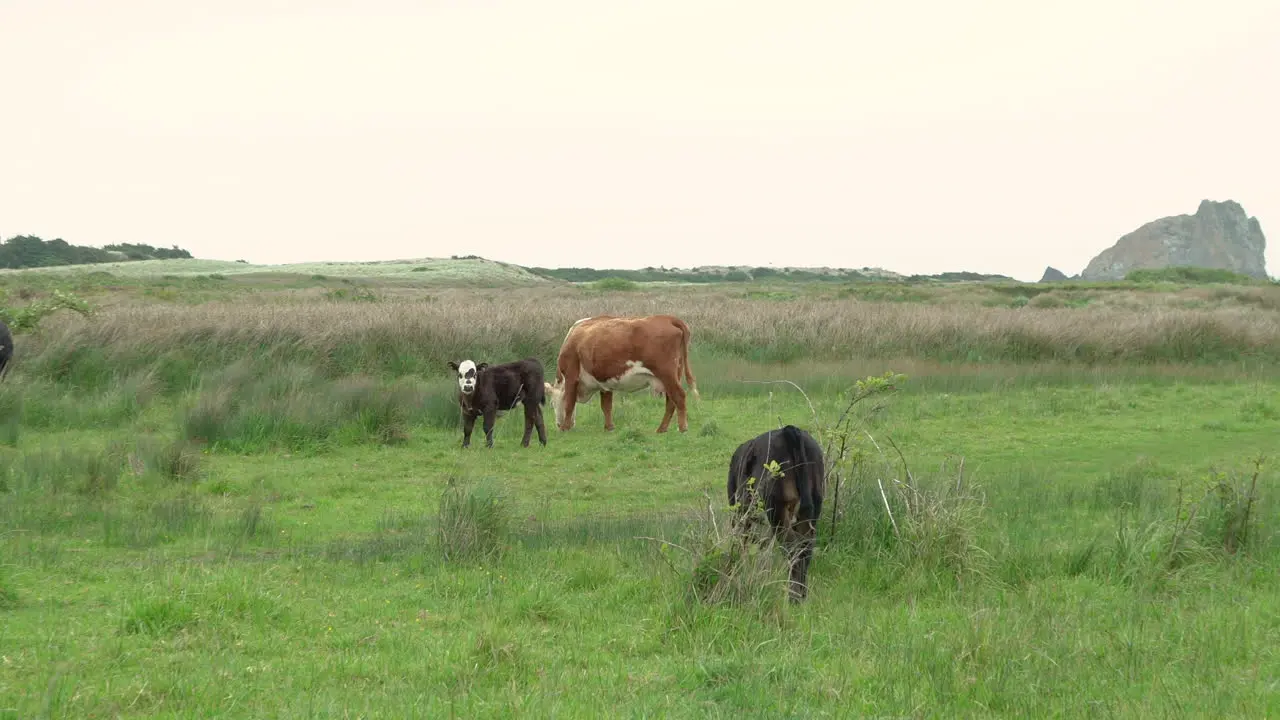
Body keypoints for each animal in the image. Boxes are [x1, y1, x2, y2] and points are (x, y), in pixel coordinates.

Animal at [540, 312, 701, 430]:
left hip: (667, 375)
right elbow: (606, 406)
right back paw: (662, 429)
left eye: (552, 404)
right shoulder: (604, 382)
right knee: (671, 401)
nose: (558, 425)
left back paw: (682, 428)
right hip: (672, 376)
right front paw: (609, 427)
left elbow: (569, 404)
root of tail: (668, 318)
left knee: (679, 396)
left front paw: (566, 427)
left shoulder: (571, 376)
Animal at [727, 422, 824, 597]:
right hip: (812, 508)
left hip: (777, 510)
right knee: (805, 548)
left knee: (792, 548)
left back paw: (793, 596)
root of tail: (790, 431)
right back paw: (802, 594)